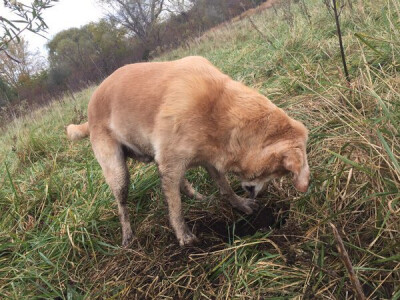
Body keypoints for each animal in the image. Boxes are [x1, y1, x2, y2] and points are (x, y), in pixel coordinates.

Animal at [66, 55, 310, 246]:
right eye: (278, 172)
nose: (258, 193)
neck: (218, 110)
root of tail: (89, 113)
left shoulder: (206, 161)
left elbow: (225, 188)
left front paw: (240, 204)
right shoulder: (171, 163)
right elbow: (175, 207)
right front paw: (183, 235)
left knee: (179, 184)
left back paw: (199, 197)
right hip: (117, 172)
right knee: (122, 204)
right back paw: (127, 235)